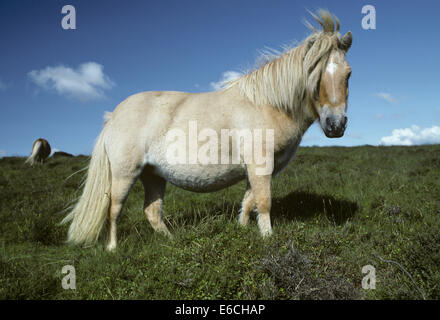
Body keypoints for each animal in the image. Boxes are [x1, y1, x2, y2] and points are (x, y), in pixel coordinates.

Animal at [62, 9, 352, 250]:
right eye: (314, 73)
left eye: (348, 74)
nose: (336, 125)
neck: (267, 103)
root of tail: (113, 115)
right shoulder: (260, 165)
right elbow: (263, 203)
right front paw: (268, 240)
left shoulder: (255, 170)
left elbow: (248, 202)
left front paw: (242, 232)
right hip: (124, 174)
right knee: (114, 209)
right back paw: (112, 249)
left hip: (152, 175)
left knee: (152, 211)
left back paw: (172, 242)